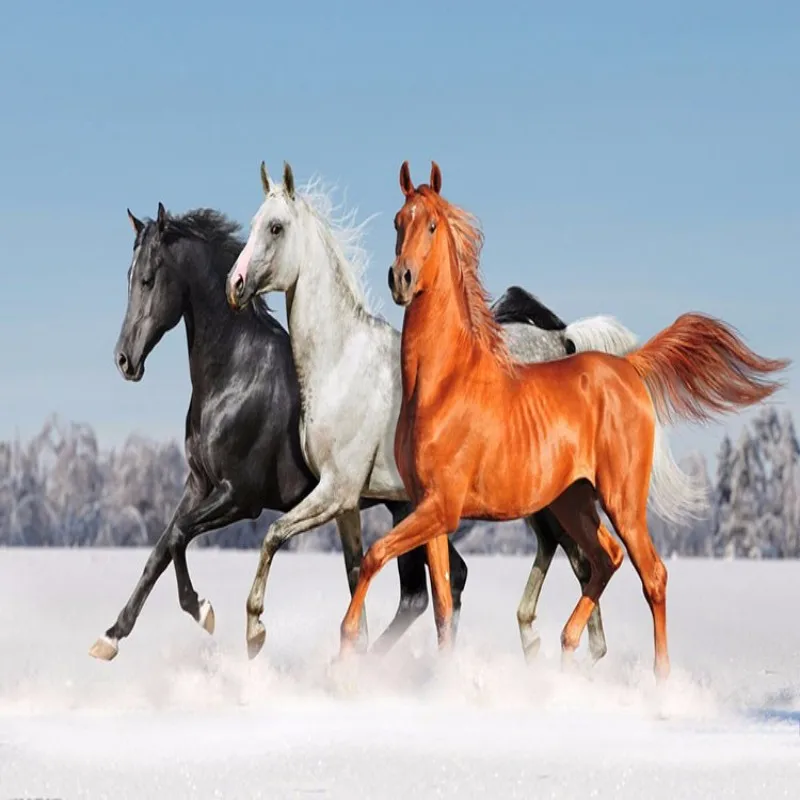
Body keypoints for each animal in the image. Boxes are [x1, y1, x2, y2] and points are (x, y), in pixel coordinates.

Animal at [88, 202, 472, 661]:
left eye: (148, 278)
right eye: (129, 277)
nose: (124, 360)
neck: (236, 374)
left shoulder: (240, 497)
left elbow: (180, 535)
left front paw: (203, 610)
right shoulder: (199, 485)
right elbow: (161, 548)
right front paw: (110, 636)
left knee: (437, 584)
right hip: (400, 507)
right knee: (427, 588)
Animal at [225, 162, 643, 663]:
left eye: (275, 227)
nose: (234, 286)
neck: (341, 360)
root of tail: (564, 341)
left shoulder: (335, 492)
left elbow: (273, 535)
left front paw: (254, 631)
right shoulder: (347, 505)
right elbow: (354, 573)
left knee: (582, 561)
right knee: (572, 557)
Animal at [337, 160, 789, 682]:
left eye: (430, 224)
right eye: (397, 221)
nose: (401, 278)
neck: (443, 383)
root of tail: (629, 368)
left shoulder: (442, 507)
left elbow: (373, 556)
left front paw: (345, 645)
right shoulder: (426, 508)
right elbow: (443, 607)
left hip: (621, 500)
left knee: (651, 573)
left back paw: (658, 681)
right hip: (573, 500)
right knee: (605, 558)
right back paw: (566, 646)